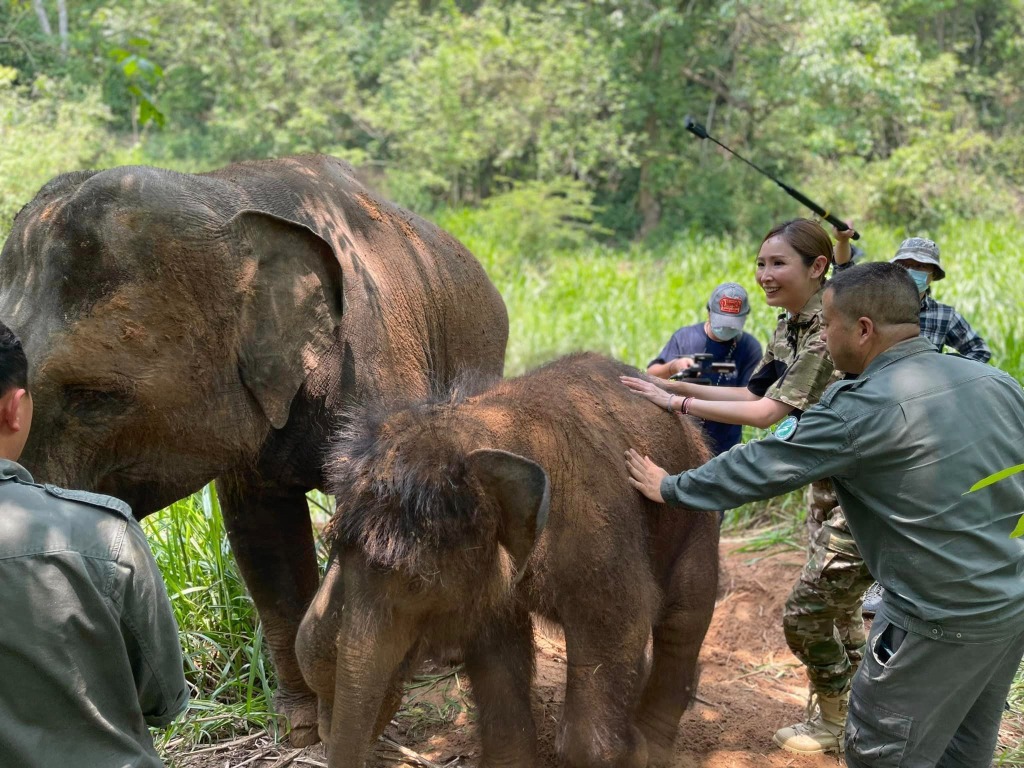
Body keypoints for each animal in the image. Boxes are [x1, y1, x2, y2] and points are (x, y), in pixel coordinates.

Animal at [0, 153, 509, 749]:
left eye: (96, 397)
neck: (225, 197)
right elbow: (265, 542)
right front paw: (304, 730)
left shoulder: (381, 368)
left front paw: (357, 724)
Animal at [296, 354, 720, 768]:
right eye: (335, 549)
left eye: (416, 582)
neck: (484, 428)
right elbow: (495, 653)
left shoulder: (600, 532)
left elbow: (621, 625)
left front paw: (632, 753)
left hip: (696, 519)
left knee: (684, 617)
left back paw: (654, 749)